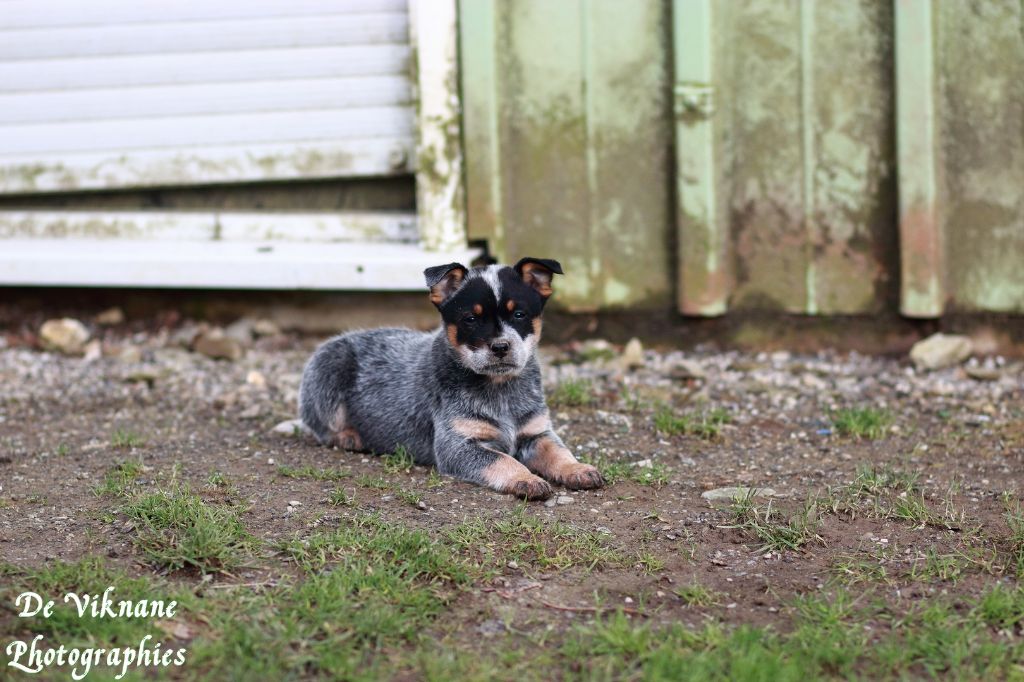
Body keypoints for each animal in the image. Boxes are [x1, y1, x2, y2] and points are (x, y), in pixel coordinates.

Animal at [298, 257, 604, 500]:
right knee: (321, 424)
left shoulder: (537, 432)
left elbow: (558, 451)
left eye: (519, 314)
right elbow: (501, 459)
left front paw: (577, 468)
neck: (500, 389)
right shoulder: (457, 445)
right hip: (328, 367)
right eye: (471, 319)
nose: (500, 346)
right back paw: (349, 436)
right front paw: (526, 478)